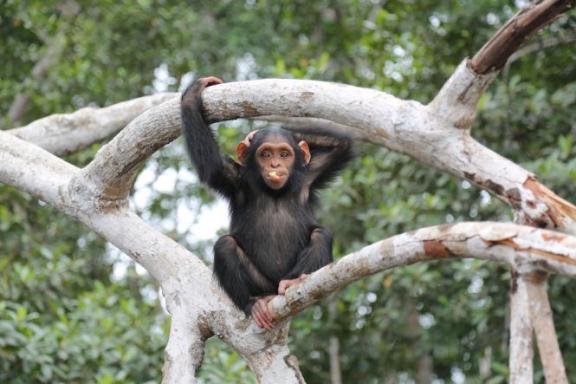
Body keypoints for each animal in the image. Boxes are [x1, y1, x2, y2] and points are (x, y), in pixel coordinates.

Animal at [180, 76, 354, 328]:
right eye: (265, 154)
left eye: (284, 154)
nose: (275, 165)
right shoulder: (234, 179)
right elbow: (212, 166)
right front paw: (193, 94)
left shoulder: (312, 172)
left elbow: (341, 143)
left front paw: (254, 135)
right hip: (261, 283)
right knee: (225, 245)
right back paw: (253, 303)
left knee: (321, 235)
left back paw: (292, 283)